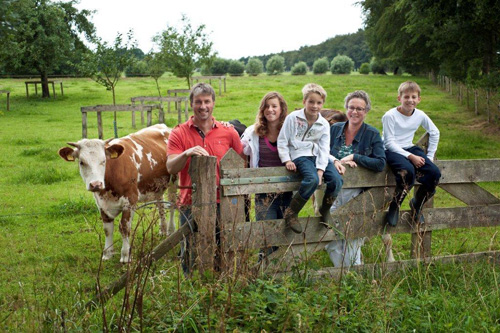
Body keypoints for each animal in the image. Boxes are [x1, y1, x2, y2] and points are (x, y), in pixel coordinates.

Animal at [58, 123, 175, 260]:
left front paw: (125, 255)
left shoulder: (130, 200)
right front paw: (107, 253)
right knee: (160, 205)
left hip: (174, 180)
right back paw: (163, 230)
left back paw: (171, 230)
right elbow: (107, 229)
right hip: (157, 187)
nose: (95, 184)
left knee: (172, 204)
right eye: (82, 162)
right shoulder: (101, 204)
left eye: (104, 161)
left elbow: (124, 227)